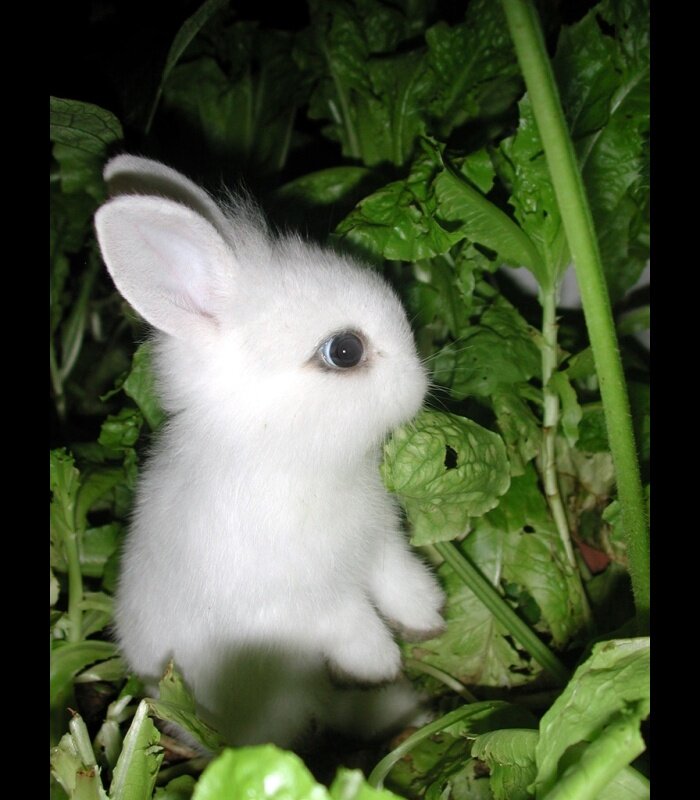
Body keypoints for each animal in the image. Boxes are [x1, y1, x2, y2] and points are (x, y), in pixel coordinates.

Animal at [94, 155, 446, 748]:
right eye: (344, 351)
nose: (421, 383)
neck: (284, 456)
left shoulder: (379, 546)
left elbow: (398, 581)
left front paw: (429, 618)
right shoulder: (303, 601)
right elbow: (351, 622)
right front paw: (382, 662)